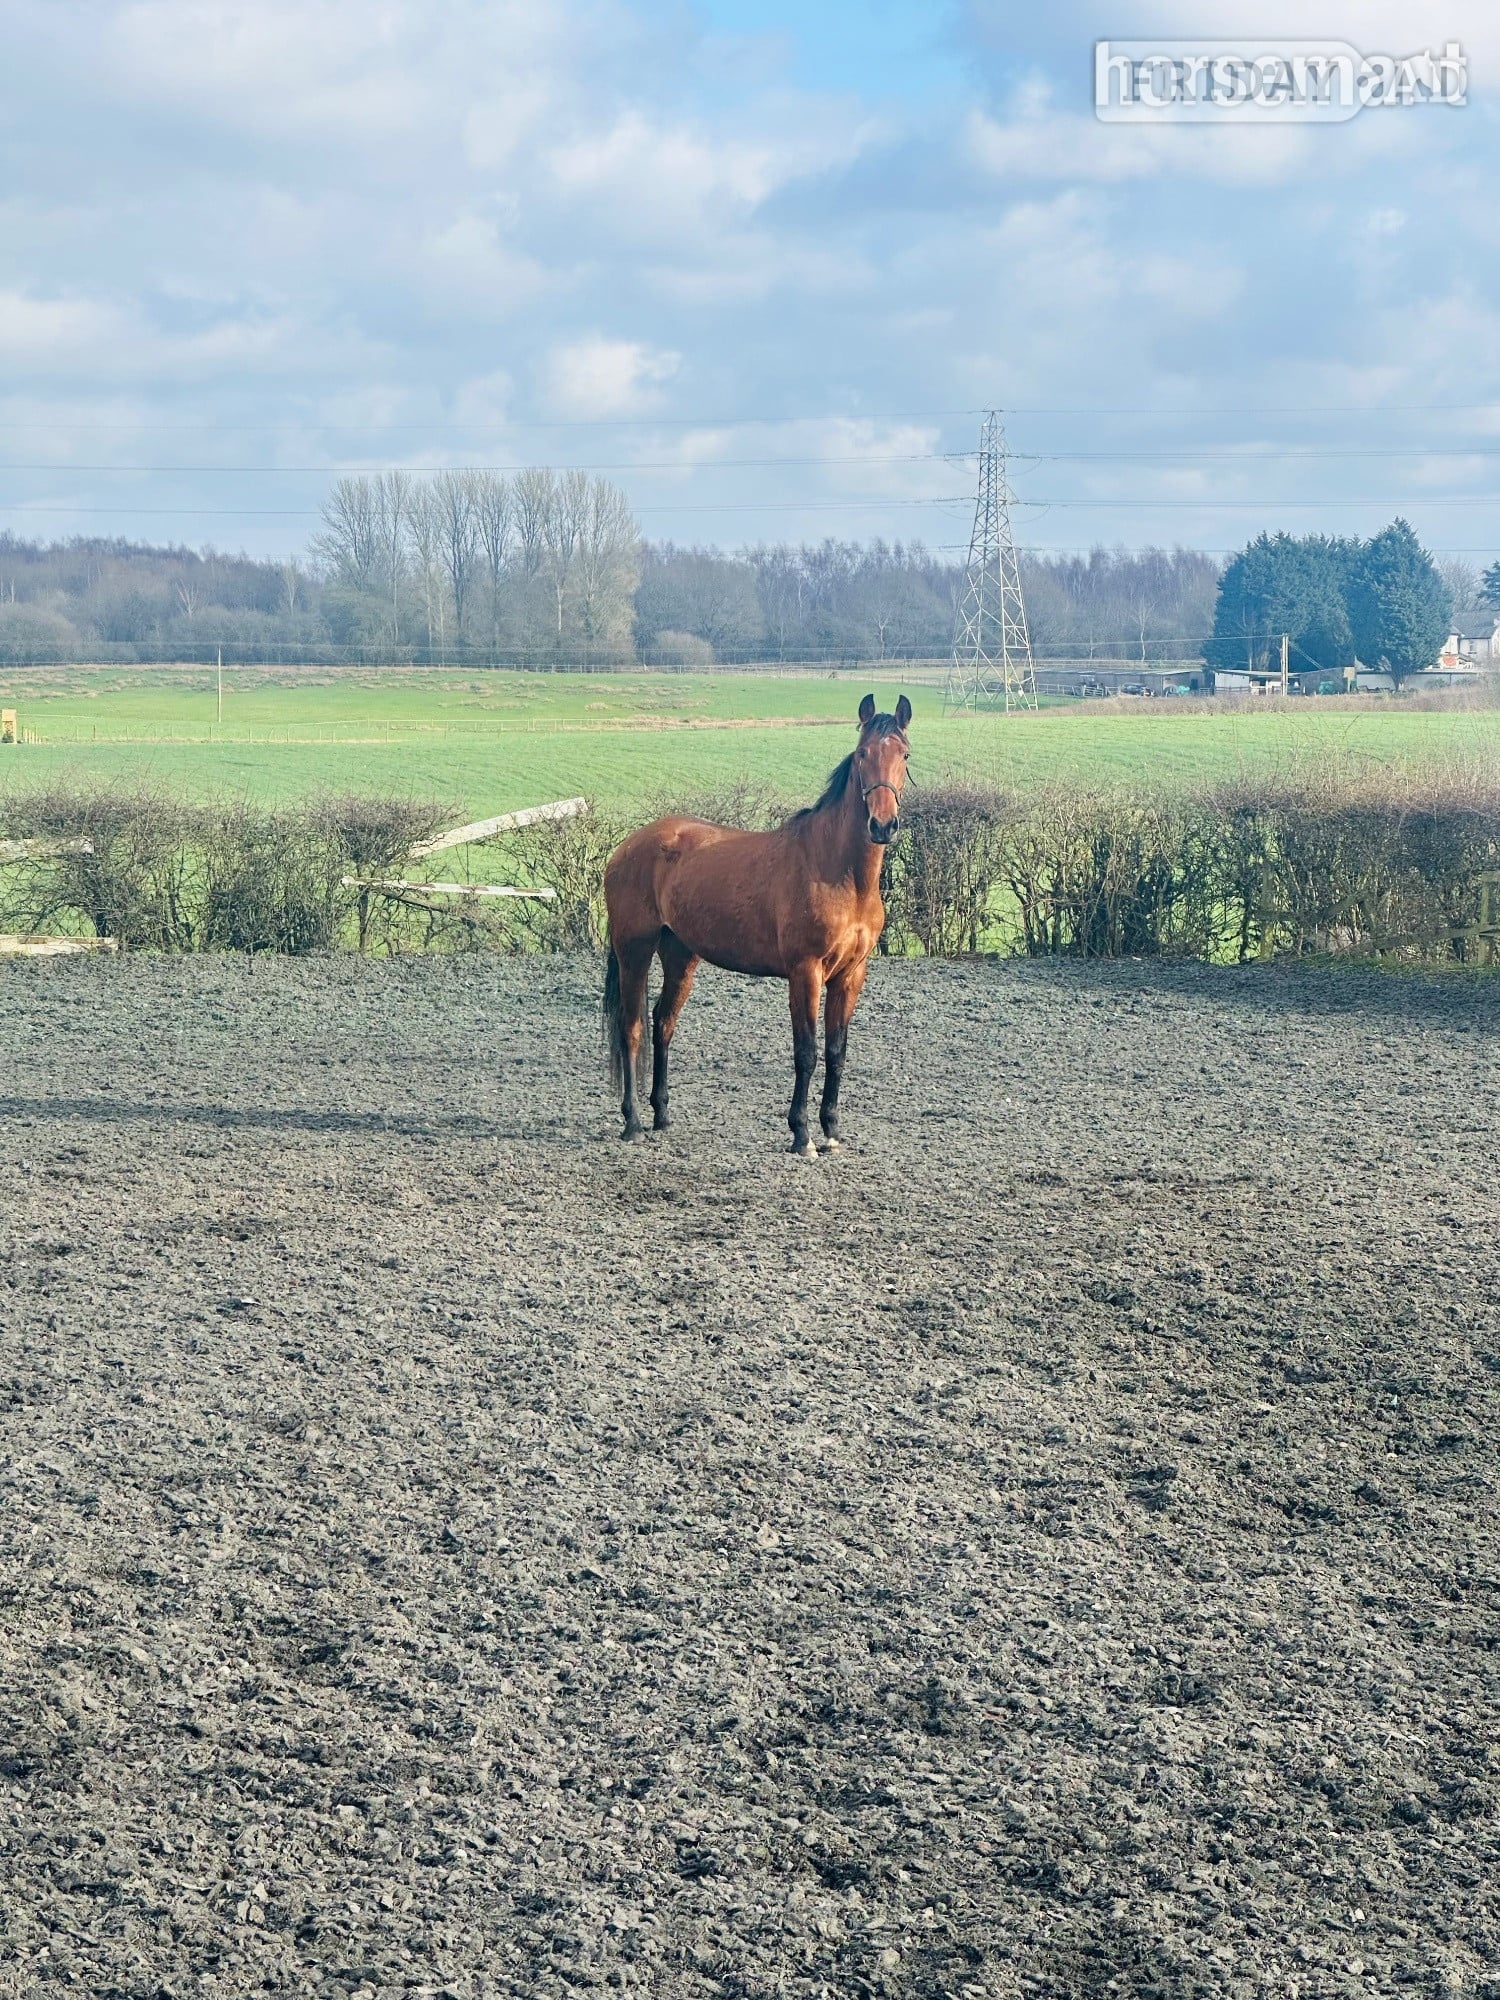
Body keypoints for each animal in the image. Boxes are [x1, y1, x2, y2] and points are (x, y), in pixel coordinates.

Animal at [602, 692, 911, 1156]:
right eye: (862, 755)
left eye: (904, 755)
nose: (883, 825)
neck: (838, 872)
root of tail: (627, 846)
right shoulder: (805, 972)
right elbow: (807, 1051)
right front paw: (801, 1134)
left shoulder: (851, 975)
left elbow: (836, 1052)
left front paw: (831, 1130)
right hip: (634, 949)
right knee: (632, 1027)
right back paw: (634, 1122)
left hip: (680, 954)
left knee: (663, 1022)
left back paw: (662, 1115)